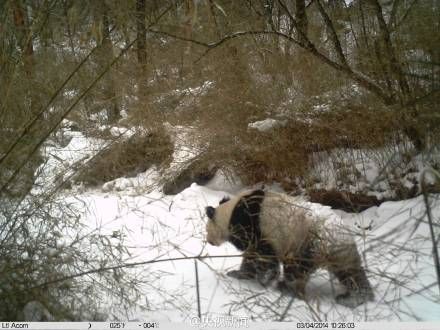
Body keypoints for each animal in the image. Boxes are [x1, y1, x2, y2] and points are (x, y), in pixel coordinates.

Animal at [205, 189, 372, 308]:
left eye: (207, 229)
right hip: (334, 251)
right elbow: (254, 257)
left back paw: (286, 288)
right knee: (350, 272)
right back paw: (357, 297)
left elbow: (261, 256)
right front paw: (240, 274)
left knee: (296, 269)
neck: (230, 212)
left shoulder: (252, 226)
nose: (209, 241)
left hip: (308, 242)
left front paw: (263, 278)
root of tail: (343, 235)